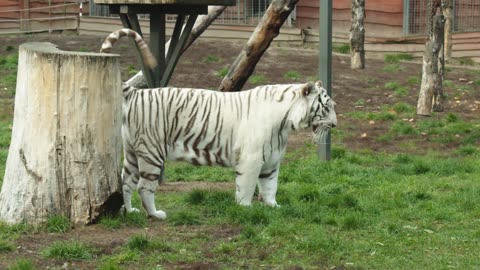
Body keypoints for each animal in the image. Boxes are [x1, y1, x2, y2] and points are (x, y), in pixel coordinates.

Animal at [100, 29, 338, 219]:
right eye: (327, 108)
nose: (335, 125)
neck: (285, 123)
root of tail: (135, 92)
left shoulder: (271, 161)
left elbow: (270, 187)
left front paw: (274, 207)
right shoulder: (251, 159)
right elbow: (246, 187)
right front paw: (245, 210)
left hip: (132, 152)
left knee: (126, 182)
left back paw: (130, 211)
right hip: (152, 152)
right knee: (144, 186)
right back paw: (156, 214)